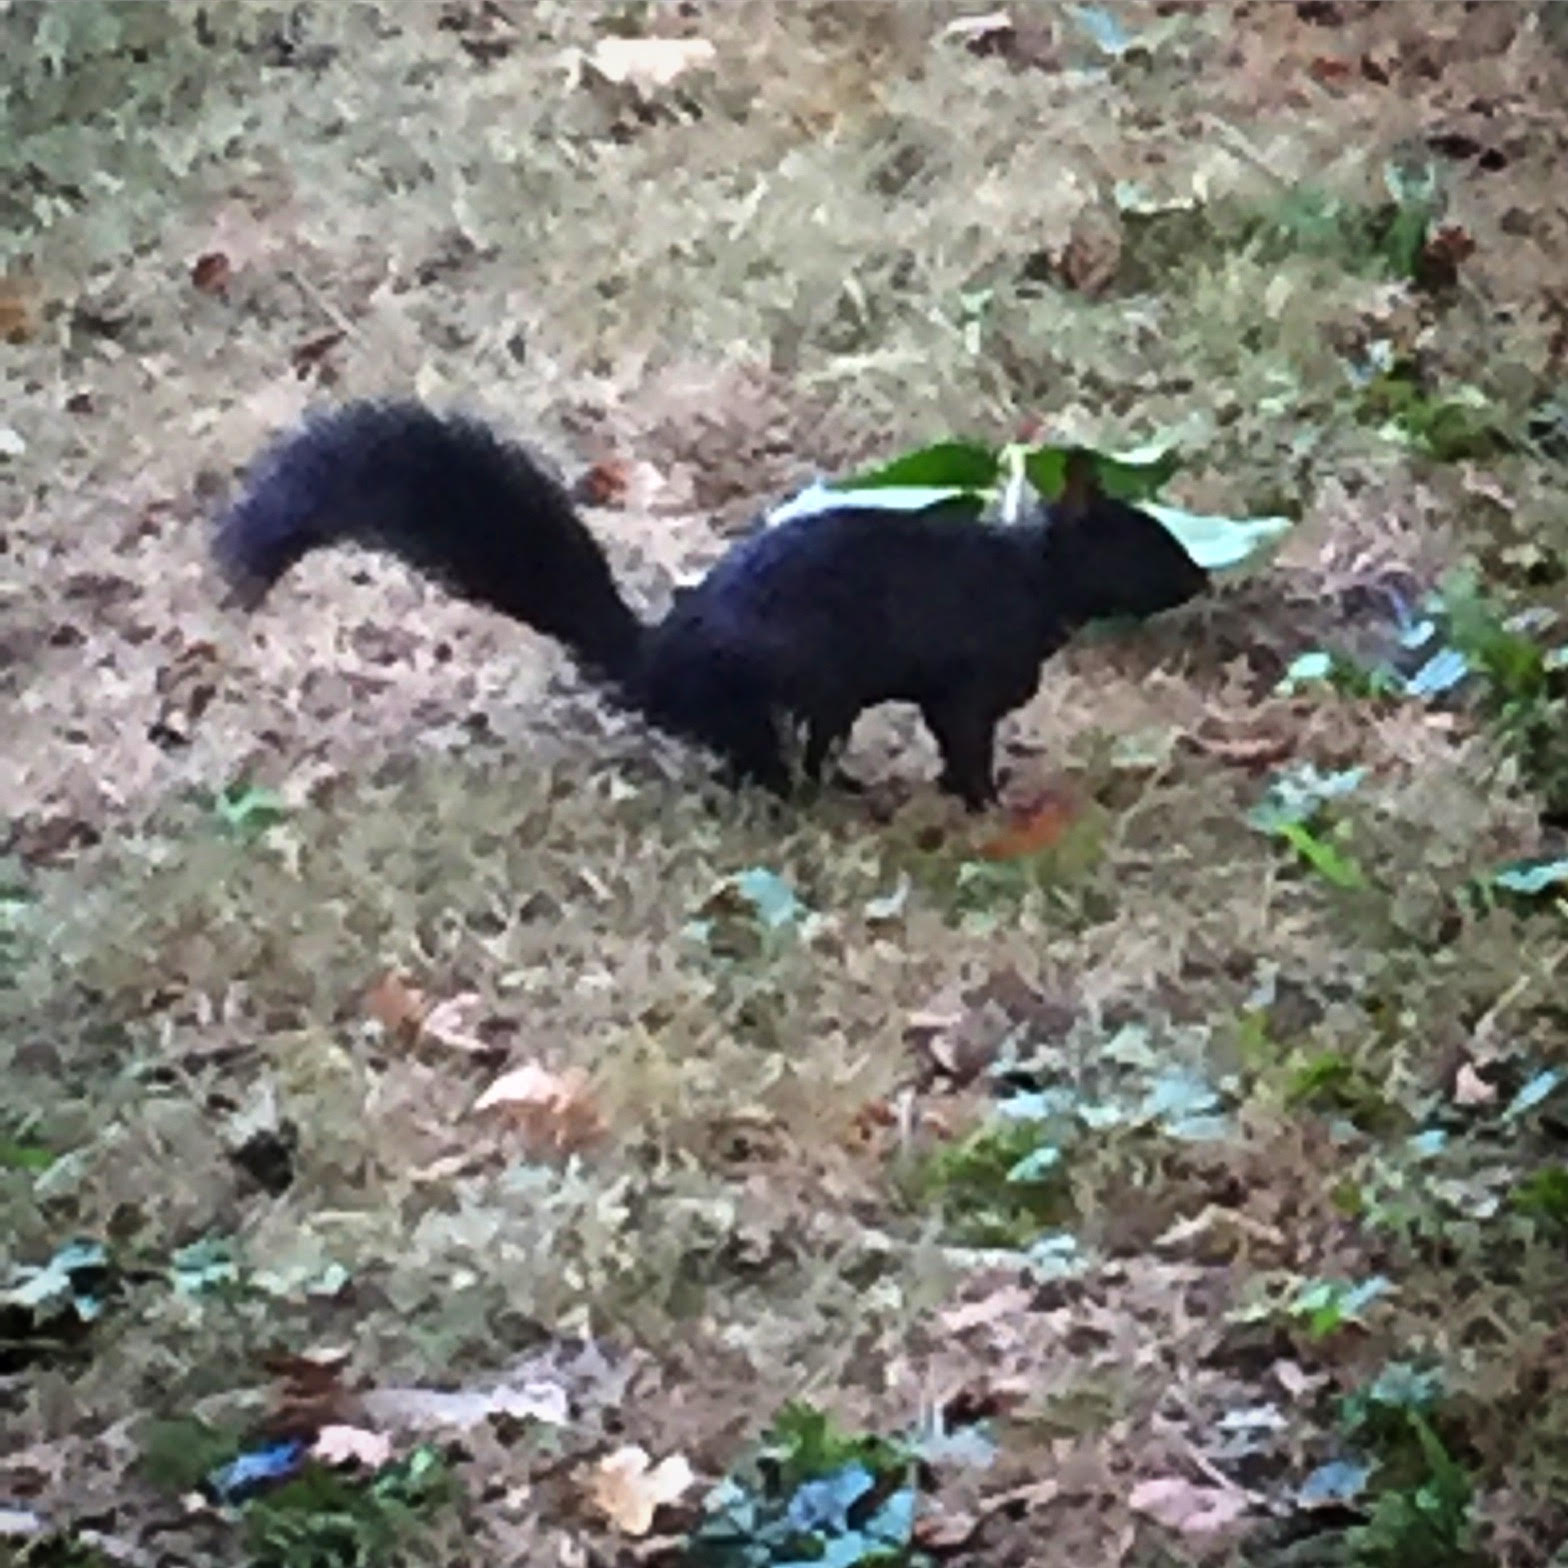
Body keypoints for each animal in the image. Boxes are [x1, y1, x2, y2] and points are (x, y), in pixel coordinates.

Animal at [213, 400, 1209, 807]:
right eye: (1146, 541)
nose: (1200, 578)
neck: (1030, 576)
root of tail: (664, 667)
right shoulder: (968, 679)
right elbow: (964, 741)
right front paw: (990, 806)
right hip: (786, 692)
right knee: (761, 763)